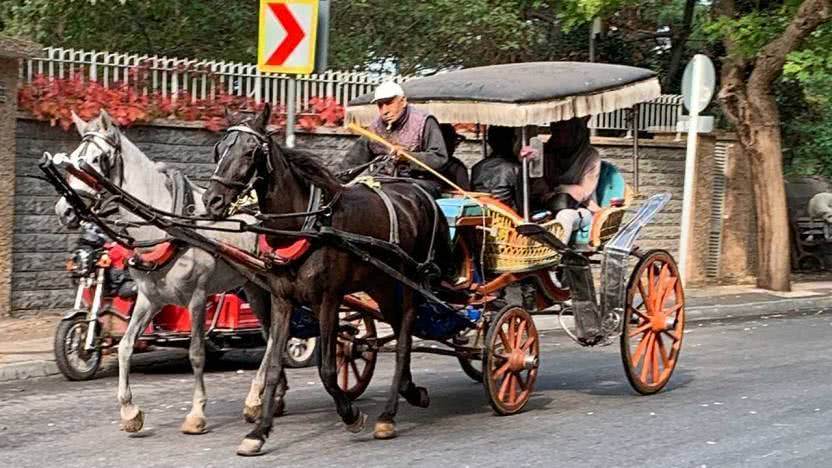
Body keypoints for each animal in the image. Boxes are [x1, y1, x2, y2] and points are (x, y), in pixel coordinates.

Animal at [54, 109, 286, 436]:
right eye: (74, 158)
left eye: (97, 159)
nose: (63, 210)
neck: (165, 225)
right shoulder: (149, 298)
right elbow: (125, 346)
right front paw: (129, 411)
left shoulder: (198, 298)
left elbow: (197, 353)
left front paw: (197, 414)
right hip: (253, 286)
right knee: (271, 335)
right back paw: (272, 398)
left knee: (276, 338)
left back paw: (255, 399)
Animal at [202, 104, 452, 456]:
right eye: (219, 149)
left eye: (251, 151)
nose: (212, 200)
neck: (306, 225)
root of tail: (418, 194)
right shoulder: (281, 299)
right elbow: (275, 365)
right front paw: (259, 431)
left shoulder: (329, 300)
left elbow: (327, 369)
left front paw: (350, 414)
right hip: (380, 284)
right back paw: (409, 391)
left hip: (408, 282)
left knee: (404, 339)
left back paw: (389, 413)